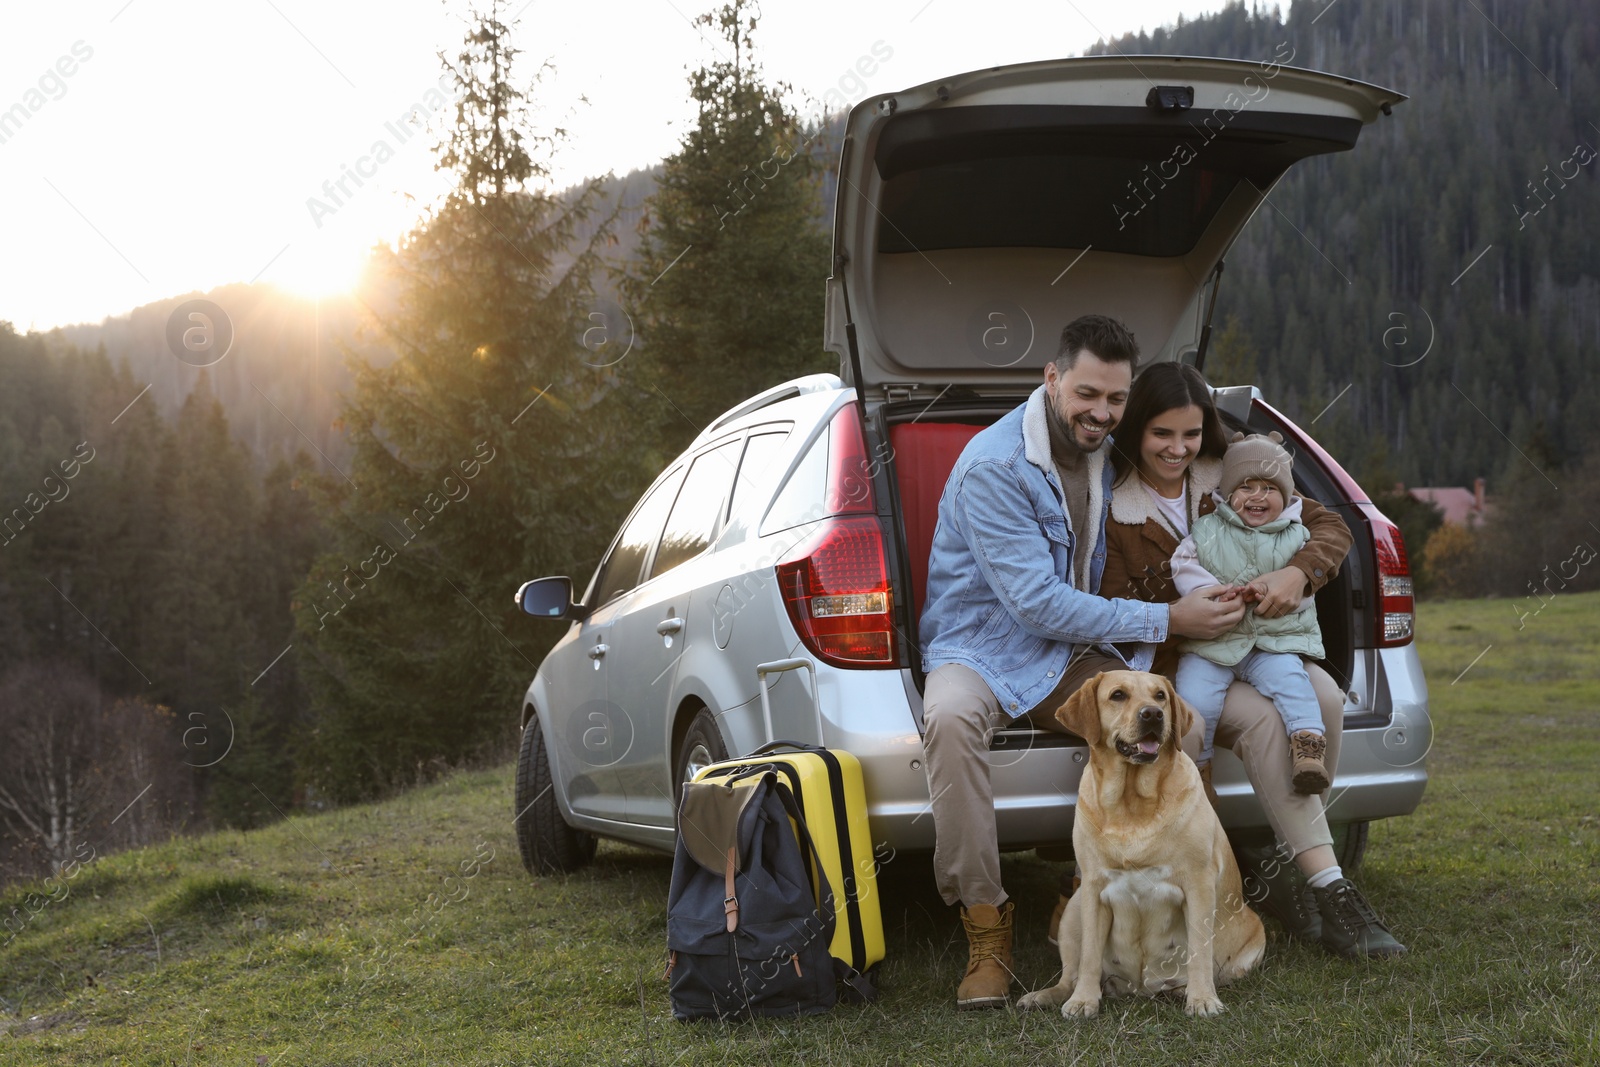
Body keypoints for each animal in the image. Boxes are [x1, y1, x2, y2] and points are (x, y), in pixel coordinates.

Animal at [1024, 671, 1260, 1023]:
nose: (1153, 714)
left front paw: (1202, 999)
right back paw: (1044, 996)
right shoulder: (1092, 887)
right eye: (1118, 695)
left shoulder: (1198, 884)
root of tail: (1140, 989)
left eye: (1160, 695)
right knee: (1070, 976)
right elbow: (1089, 955)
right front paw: (1084, 1001)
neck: (1131, 802)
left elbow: (1200, 950)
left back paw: (1182, 990)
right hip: (1073, 909)